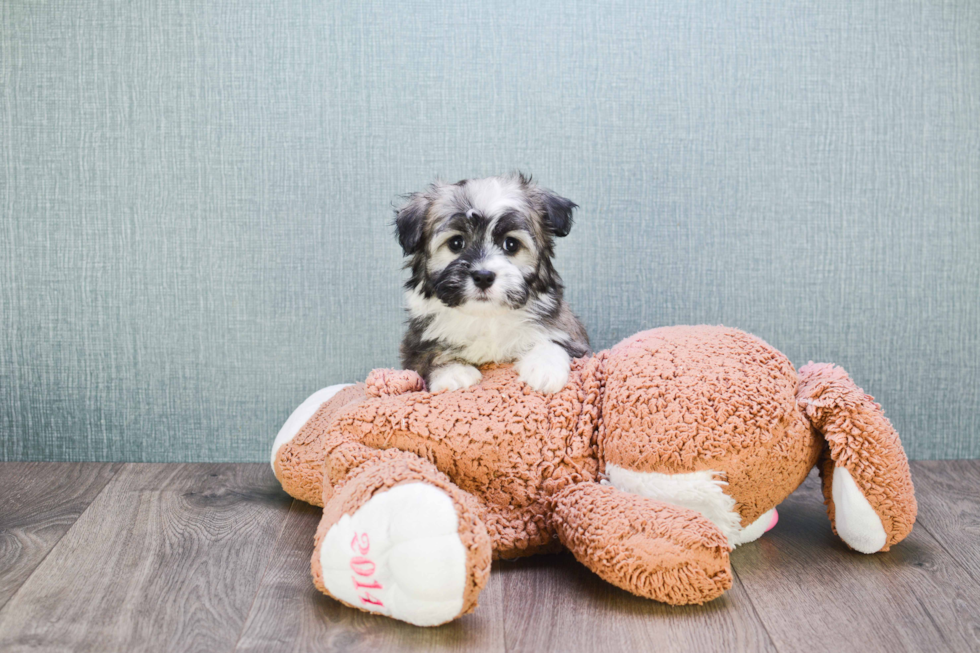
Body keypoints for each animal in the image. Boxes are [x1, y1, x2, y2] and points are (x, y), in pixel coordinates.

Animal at [396, 173, 588, 394]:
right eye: (456, 243)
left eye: (511, 244)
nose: (483, 276)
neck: (486, 318)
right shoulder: (416, 345)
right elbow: (429, 355)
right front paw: (453, 373)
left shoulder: (569, 331)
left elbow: (554, 340)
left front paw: (545, 368)